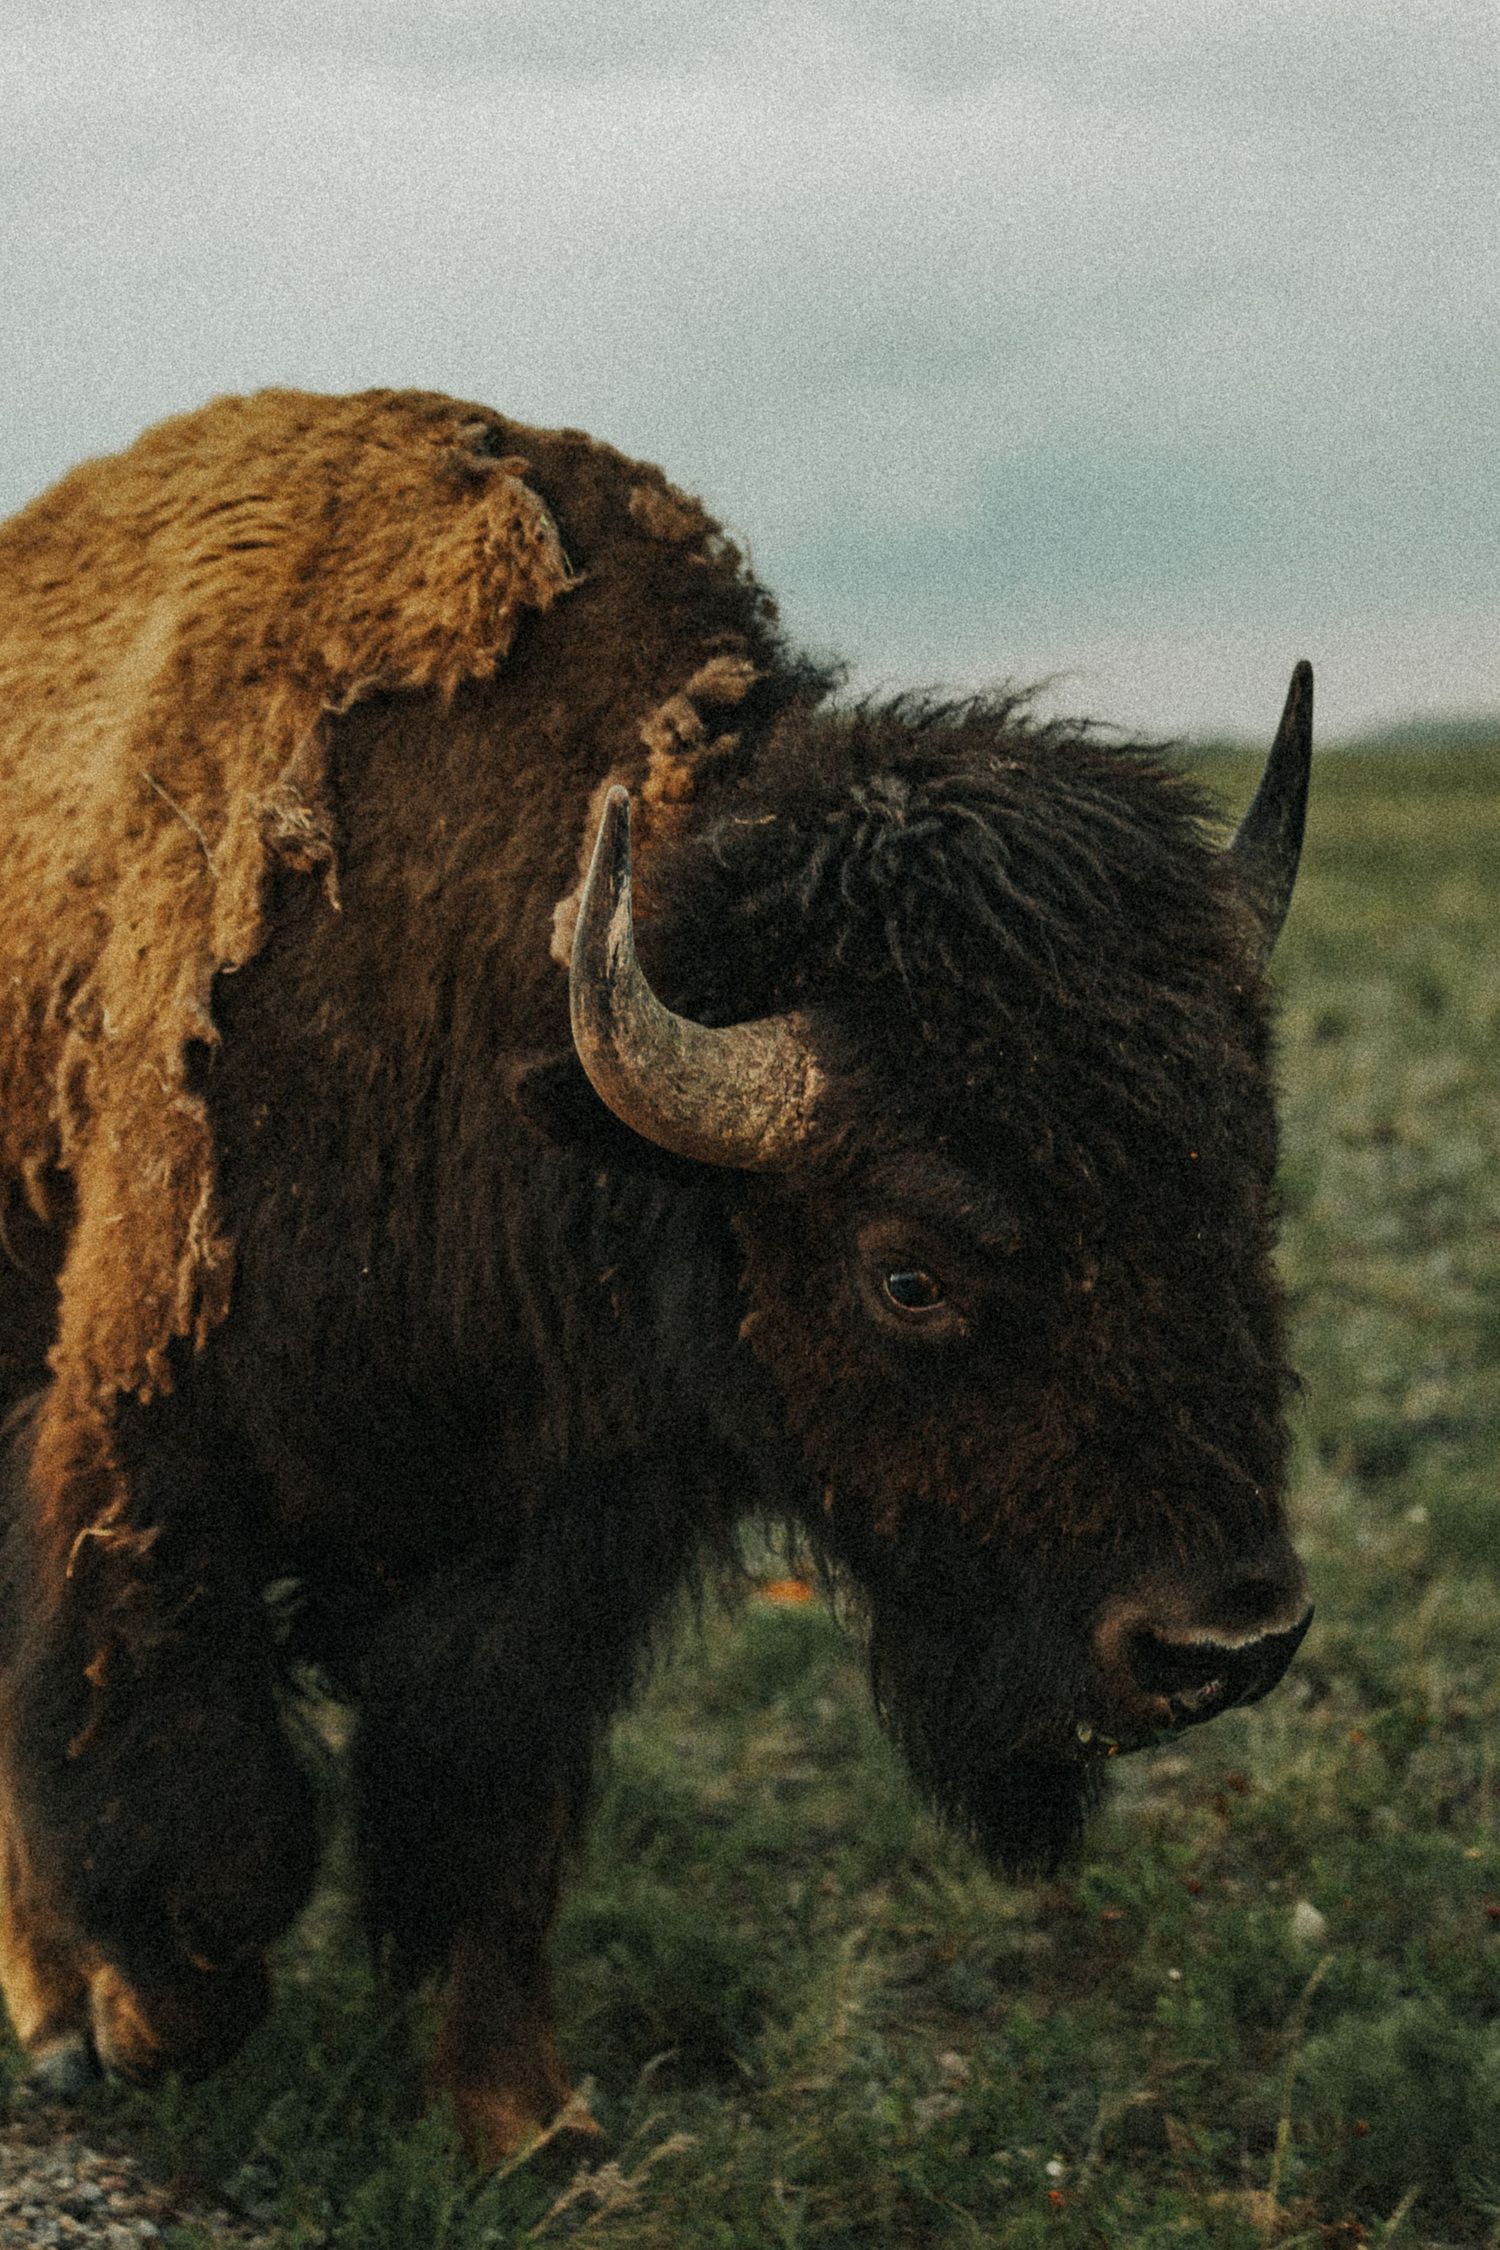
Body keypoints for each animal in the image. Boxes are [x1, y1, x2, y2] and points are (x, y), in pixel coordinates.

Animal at [0, 388, 1311, 2163]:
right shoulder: (147, 1442)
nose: (1226, 1642)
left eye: (1246, 1182)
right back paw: (55, 2012)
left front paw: (531, 2129)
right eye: (908, 1275)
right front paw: (145, 2021)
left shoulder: (552, 1546)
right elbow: (187, 1790)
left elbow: (495, 1819)